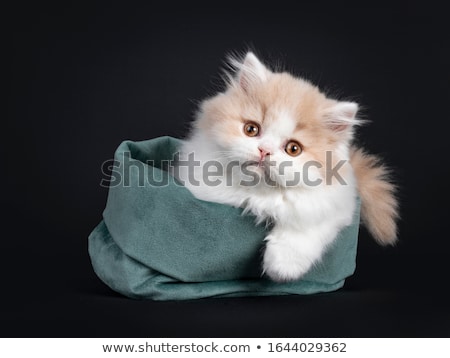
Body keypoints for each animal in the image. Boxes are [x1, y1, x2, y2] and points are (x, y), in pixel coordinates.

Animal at [175, 52, 398, 282]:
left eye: (293, 148)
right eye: (251, 129)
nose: (264, 150)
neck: (260, 194)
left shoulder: (338, 205)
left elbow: (307, 226)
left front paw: (282, 266)